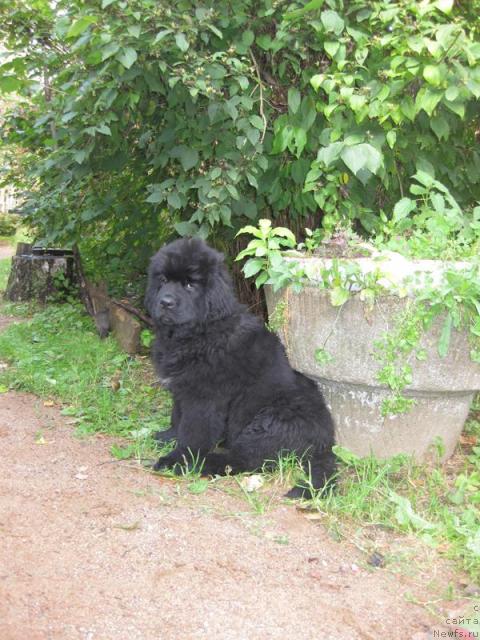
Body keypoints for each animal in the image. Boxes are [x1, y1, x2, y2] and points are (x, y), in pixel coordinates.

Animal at [144, 238, 336, 498]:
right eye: (163, 280)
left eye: (190, 285)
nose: (165, 302)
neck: (198, 334)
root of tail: (326, 443)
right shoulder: (181, 390)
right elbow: (177, 417)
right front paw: (167, 436)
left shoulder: (203, 398)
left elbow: (193, 432)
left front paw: (177, 458)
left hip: (269, 421)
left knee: (246, 459)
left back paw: (204, 463)